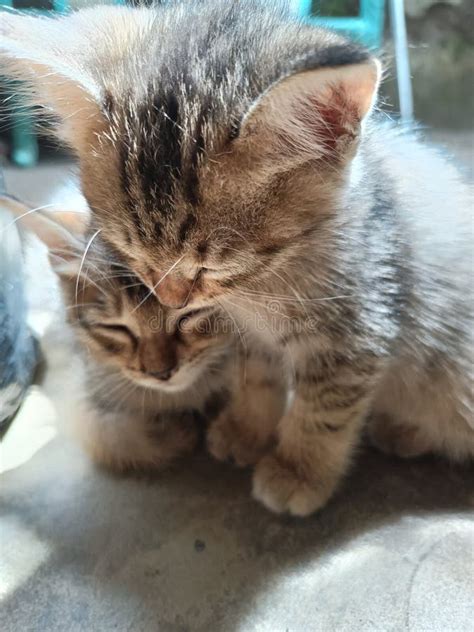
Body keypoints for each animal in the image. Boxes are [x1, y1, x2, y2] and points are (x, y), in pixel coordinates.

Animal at [6, 195, 286, 472]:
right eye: (116, 328)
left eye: (189, 315)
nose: (161, 374)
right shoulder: (78, 381)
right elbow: (106, 435)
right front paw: (175, 433)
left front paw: (242, 434)